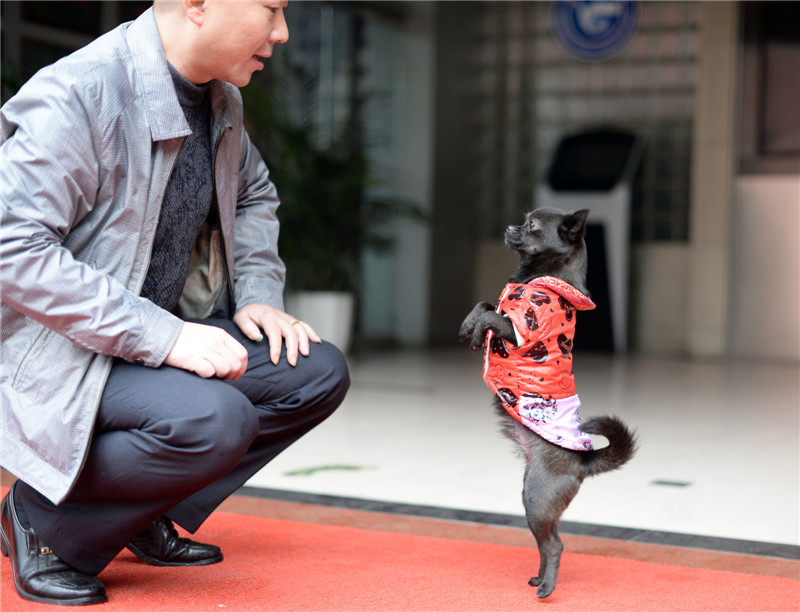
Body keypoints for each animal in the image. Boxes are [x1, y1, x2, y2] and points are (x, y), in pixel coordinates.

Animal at [456, 207, 636, 596]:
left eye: (532, 226)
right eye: (523, 221)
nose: (509, 226)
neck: (538, 279)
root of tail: (584, 462)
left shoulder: (522, 330)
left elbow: (492, 315)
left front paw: (477, 333)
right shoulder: (504, 312)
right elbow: (486, 304)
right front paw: (468, 327)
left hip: (536, 499)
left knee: (555, 545)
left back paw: (547, 589)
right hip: (535, 504)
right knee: (546, 543)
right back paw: (540, 578)